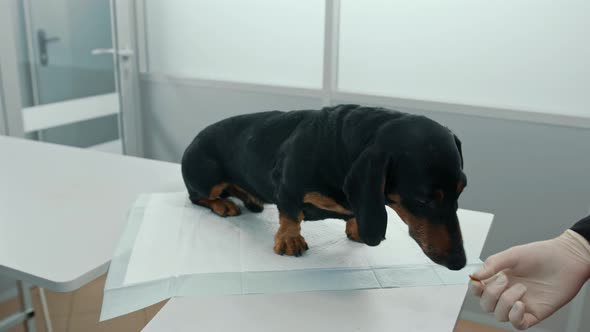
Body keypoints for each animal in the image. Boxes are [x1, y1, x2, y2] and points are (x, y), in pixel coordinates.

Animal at [183, 104, 470, 270]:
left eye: (461, 190)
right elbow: (290, 215)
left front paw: (355, 228)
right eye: (423, 200)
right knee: (198, 197)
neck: (340, 147)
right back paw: (224, 204)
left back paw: (250, 199)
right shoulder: (286, 186)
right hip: (207, 177)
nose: (459, 262)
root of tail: (194, 139)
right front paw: (289, 239)